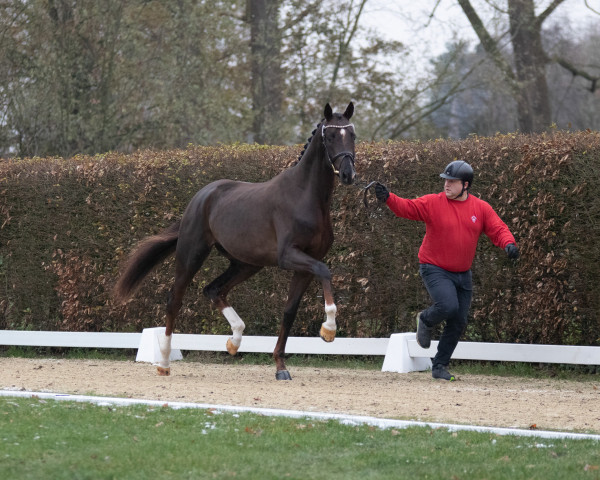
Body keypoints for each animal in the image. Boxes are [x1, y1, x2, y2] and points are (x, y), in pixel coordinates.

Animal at [114, 101, 354, 378]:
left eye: (352, 134)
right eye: (331, 135)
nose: (348, 174)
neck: (305, 196)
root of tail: (200, 197)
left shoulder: (306, 264)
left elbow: (289, 311)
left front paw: (281, 367)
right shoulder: (290, 257)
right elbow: (325, 271)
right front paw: (328, 330)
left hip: (245, 264)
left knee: (213, 289)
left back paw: (234, 340)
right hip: (192, 254)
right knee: (175, 299)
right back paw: (164, 363)